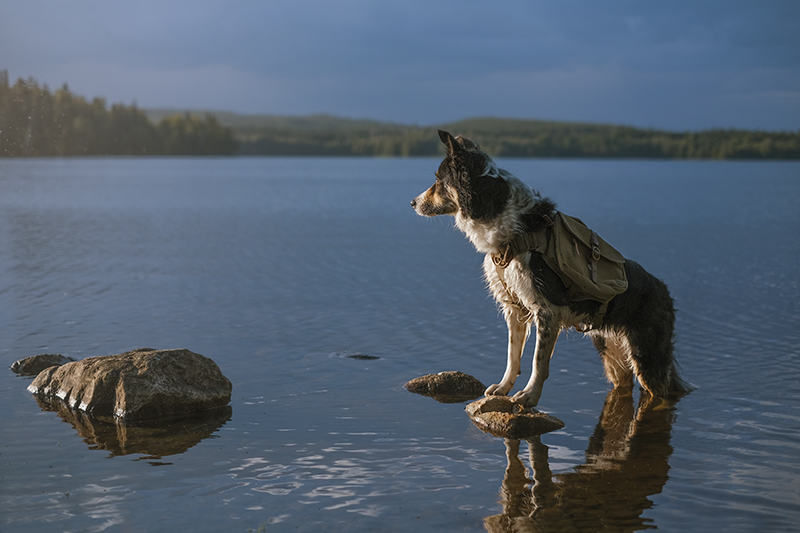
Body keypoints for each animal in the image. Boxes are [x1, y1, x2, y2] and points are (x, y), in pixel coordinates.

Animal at [412, 130, 692, 408]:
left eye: (437, 180)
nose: (412, 202)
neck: (513, 229)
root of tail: (665, 292)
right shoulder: (514, 308)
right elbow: (512, 355)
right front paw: (503, 388)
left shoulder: (547, 311)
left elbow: (539, 361)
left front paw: (528, 396)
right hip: (613, 356)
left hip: (647, 356)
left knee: (660, 392)